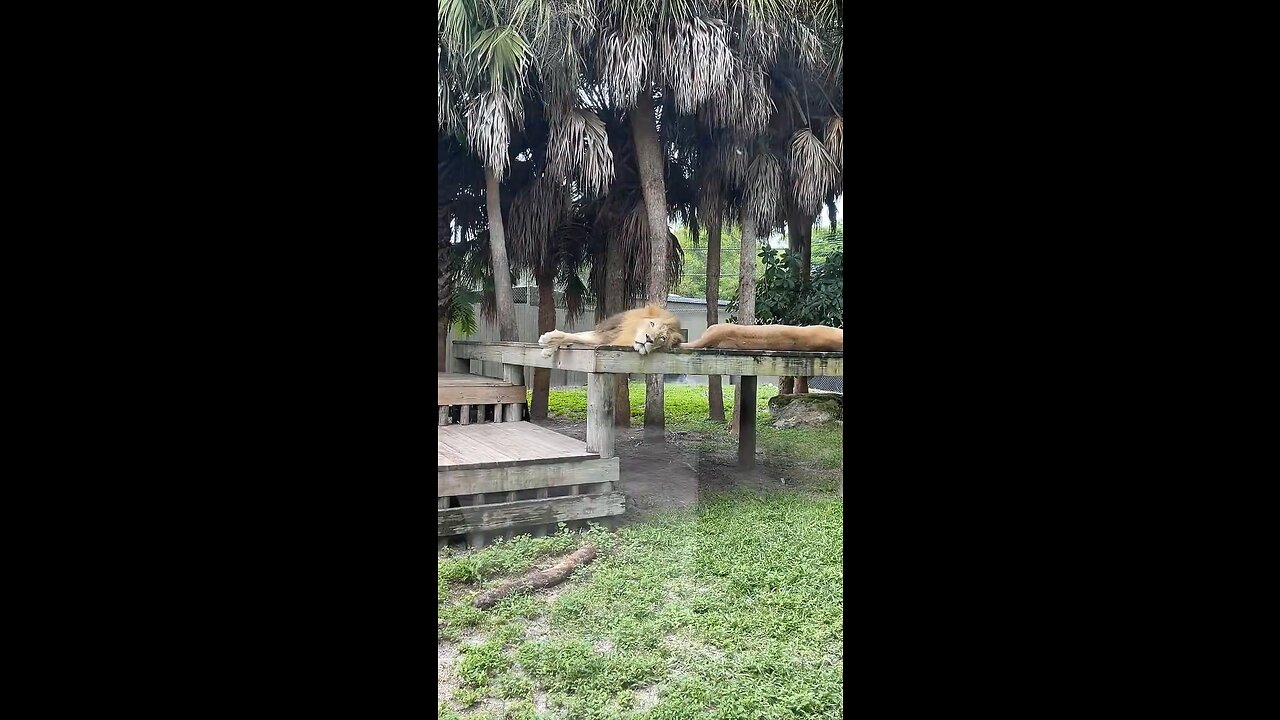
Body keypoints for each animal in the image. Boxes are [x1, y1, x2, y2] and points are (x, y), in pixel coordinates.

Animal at [535, 301, 686, 356]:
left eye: (662, 338)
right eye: (652, 324)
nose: (649, 339)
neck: (628, 335)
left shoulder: (604, 340)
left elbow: (575, 336)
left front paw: (548, 343)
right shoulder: (607, 333)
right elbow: (577, 334)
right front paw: (550, 344)